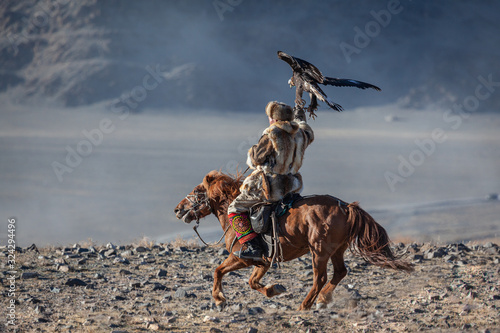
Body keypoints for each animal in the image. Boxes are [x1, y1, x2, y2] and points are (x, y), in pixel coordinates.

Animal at [174, 170, 412, 310]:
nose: (177, 209)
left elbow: (218, 271)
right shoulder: (262, 262)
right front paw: (273, 290)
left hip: (319, 252)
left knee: (320, 278)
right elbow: (252, 282)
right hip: (336, 250)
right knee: (340, 272)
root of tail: (346, 207)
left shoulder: (241, 258)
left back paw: (305, 305)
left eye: (196, 191)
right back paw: (323, 300)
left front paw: (219, 298)